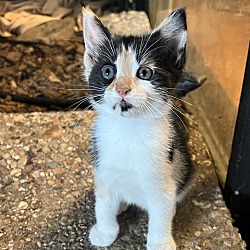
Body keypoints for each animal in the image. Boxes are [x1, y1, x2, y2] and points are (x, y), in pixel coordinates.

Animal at [81, 6, 193, 250]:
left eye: (145, 73)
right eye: (107, 72)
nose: (122, 89)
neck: (128, 131)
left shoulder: (164, 178)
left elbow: (161, 212)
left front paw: (160, 243)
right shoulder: (103, 170)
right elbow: (103, 204)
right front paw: (105, 232)